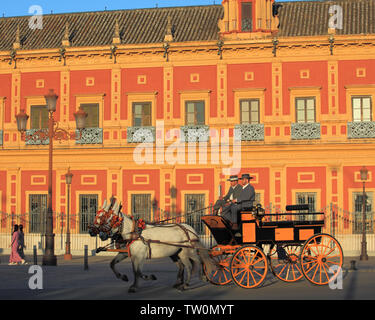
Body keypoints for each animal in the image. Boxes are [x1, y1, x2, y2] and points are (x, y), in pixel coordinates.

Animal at [88, 200, 216, 292]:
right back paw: (181, 282)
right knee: (184, 265)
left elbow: (138, 272)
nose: (98, 234)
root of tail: (188, 228)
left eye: (109, 219)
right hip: (176, 253)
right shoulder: (128, 254)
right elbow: (114, 264)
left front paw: (147, 279)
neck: (134, 233)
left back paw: (189, 283)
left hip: (187, 252)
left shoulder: (140, 257)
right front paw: (124, 278)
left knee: (195, 262)